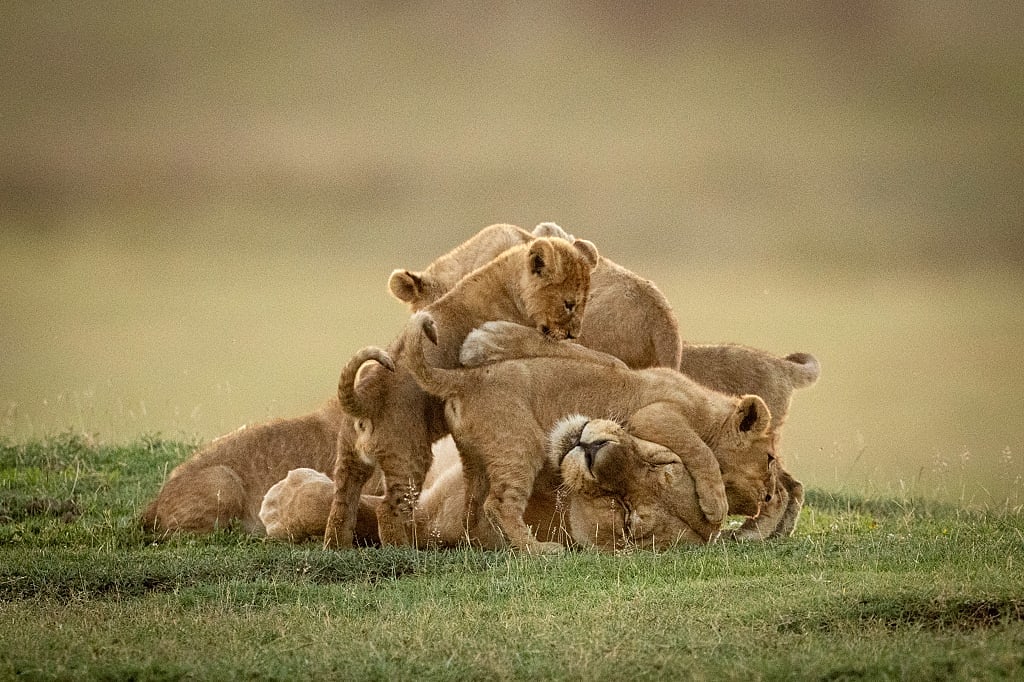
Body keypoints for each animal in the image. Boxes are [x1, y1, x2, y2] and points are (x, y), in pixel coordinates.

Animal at [323, 236, 600, 549]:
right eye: (569, 304)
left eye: (584, 303)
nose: (574, 334)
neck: (507, 283)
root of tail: (365, 398)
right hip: (409, 458)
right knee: (389, 508)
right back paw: (403, 549)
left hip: (348, 461)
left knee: (342, 504)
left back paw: (336, 547)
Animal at [385, 311, 777, 554]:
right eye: (770, 459)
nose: (768, 497)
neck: (708, 411)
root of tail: (464, 381)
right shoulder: (655, 415)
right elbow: (700, 451)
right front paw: (715, 504)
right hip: (520, 444)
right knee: (499, 503)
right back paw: (539, 551)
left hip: (474, 457)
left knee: (473, 503)